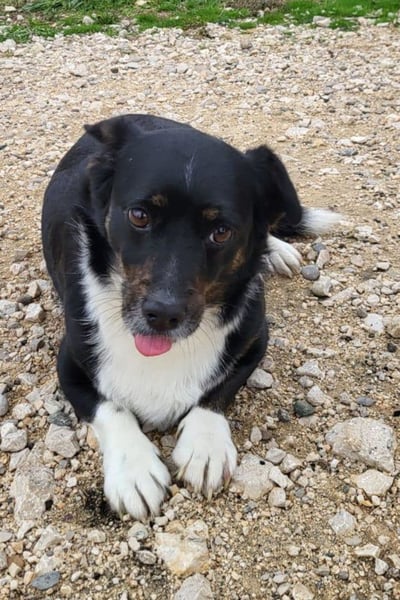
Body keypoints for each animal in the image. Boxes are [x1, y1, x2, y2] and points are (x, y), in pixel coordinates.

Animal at [41, 114, 340, 520]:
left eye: (221, 232)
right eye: (139, 215)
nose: (162, 315)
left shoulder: (253, 341)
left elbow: (218, 390)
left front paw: (205, 445)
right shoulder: (70, 365)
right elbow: (109, 407)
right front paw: (134, 470)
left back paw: (276, 250)